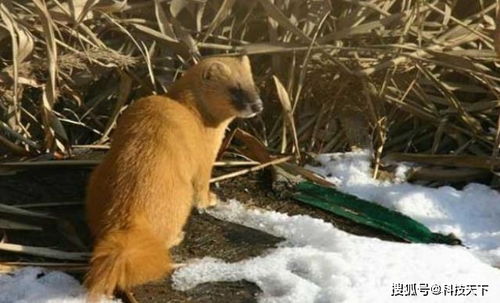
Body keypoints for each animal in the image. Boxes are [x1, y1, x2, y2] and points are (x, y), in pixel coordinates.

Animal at [83, 55, 262, 300]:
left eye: (254, 84)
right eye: (235, 89)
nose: (258, 105)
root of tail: (129, 216)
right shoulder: (205, 156)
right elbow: (202, 185)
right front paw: (211, 200)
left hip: (97, 180)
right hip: (180, 199)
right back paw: (178, 236)